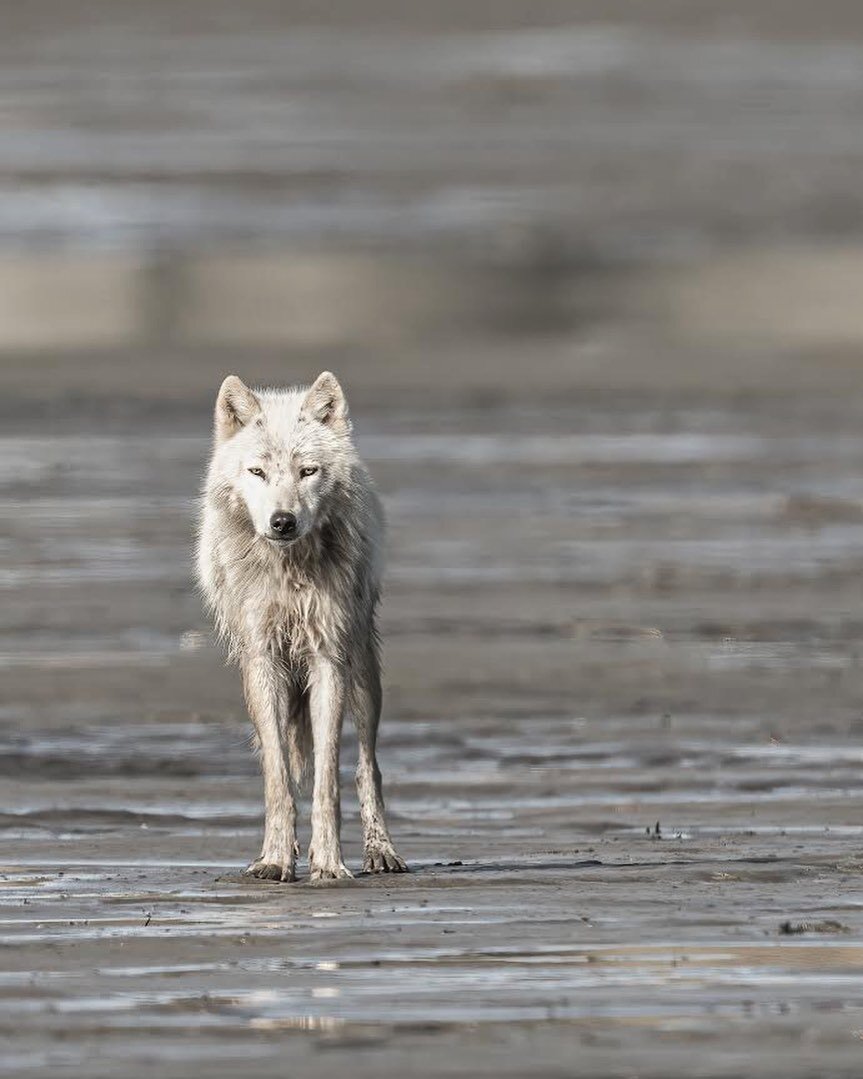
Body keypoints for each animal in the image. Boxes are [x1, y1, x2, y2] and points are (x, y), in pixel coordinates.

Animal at [198, 373, 407, 884]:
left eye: (308, 471)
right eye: (257, 472)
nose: (283, 522)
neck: (288, 570)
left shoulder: (327, 658)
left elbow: (328, 777)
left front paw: (328, 862)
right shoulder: (263, 660)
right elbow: (278, 777)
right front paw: (276, 858)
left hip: (362, 670)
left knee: (367, 766)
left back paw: (381, 852)